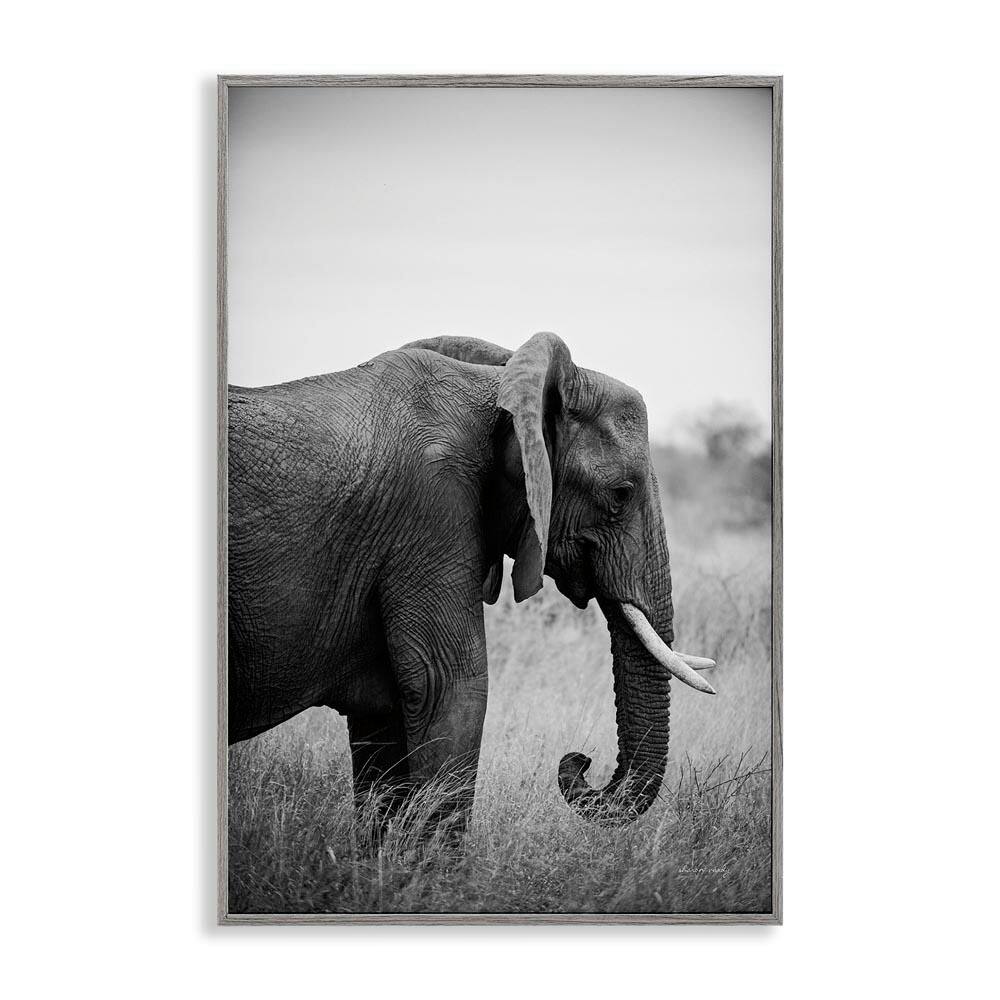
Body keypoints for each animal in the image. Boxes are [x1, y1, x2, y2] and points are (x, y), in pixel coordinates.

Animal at [227, 332, 716, 829]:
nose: (579, 760)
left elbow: (385, 716)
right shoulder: (430, 512)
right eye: (620, 494)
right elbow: (449, 687)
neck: (496, 392)